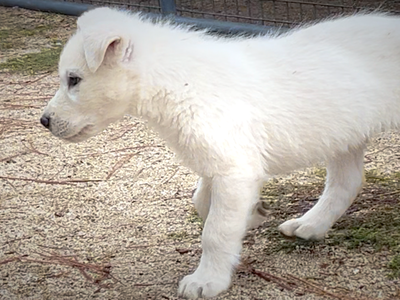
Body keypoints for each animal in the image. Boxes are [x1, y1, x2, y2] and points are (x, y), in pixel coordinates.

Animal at [41, 8, 400, 298]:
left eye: (74, 79)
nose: (44, 121)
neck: (180, 83)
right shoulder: (221, 164)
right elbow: (201, 202)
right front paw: (254, 212)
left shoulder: (233, 169)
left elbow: (215, 231)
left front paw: (207, 281)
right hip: (345, 136)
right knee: (346, 182)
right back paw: (311, 225)